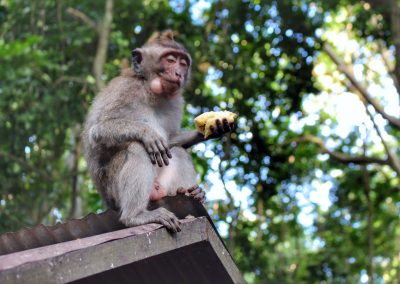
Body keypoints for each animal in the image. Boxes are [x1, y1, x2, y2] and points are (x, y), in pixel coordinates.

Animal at [83, 30, 234, 232]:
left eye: (183, 63)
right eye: (170, 60)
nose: (178, 73)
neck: (149, 89)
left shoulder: (176, 101)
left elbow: (171, 138)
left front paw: (213, 128)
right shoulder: (125, 90)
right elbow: (97, 130)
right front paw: (147, 133)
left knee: (177, 151)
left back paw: (191, 192)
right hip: (114, 191)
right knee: (138, 148)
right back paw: (135, 215)